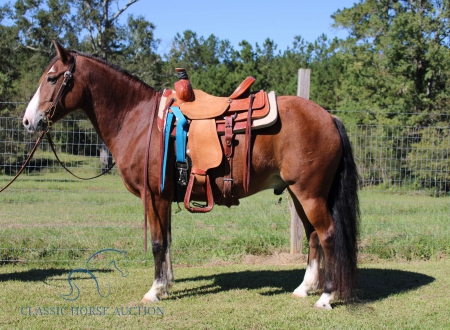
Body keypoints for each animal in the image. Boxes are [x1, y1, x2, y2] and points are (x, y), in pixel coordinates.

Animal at [22, 40, 358, 310]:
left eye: (51, 78)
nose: (27, 121)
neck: (138, 120)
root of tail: (329, 117)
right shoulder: (164, 197)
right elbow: (168, 240)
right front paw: (167, 285)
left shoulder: (153, 195)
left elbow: (158, 242)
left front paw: (155, 291)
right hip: (299, 194)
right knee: (313, 236)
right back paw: (304, 288)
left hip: (309, 194)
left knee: (327, 235)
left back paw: (326, 297)